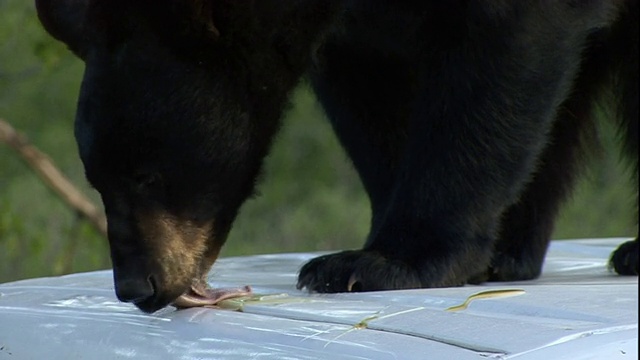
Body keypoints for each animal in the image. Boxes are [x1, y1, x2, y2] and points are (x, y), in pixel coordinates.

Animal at [37, 0, 636, 314]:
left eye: (148, 175)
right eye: (97, 179)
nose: (138, 287)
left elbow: (492, 76)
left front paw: (388, 262)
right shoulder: (355, 30)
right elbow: (374, 103)